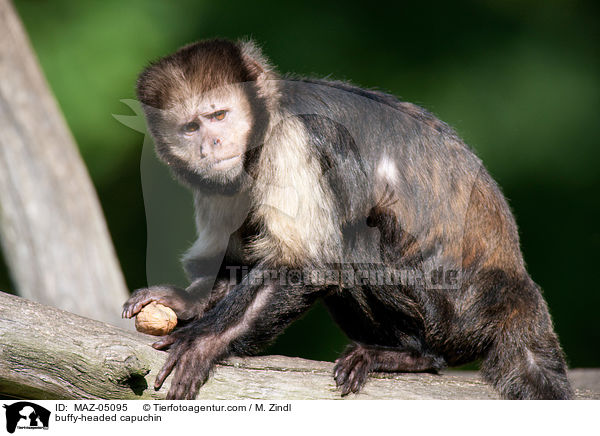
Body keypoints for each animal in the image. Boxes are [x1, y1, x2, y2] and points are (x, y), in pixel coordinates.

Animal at [120, 39, 572, 400]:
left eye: (218, 116)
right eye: (190, 127)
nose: (211, 143)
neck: (266, 123)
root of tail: (512, 285)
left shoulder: (293, 140)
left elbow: (306, 264)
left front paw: (205, 341)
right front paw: (189, 301)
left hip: (453, 313)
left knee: (354, 244)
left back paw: (417, 356)